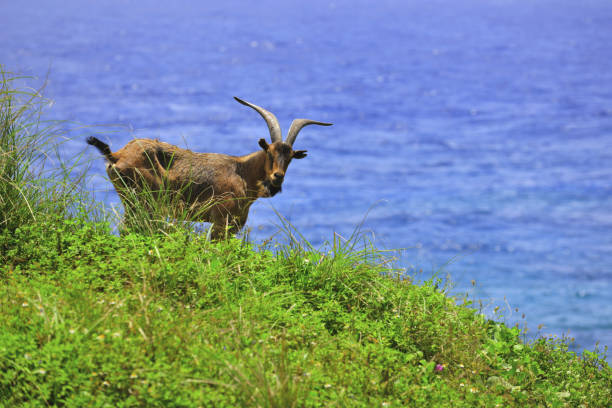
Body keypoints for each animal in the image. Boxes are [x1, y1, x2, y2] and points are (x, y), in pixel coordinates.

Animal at [87, 98, 330, 239]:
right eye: (269, 152)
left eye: (290, 157)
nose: (277, 178)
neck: (242, 172)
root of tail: (117, 155)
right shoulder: (221, 221)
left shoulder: (234, 225)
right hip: (142, 202)